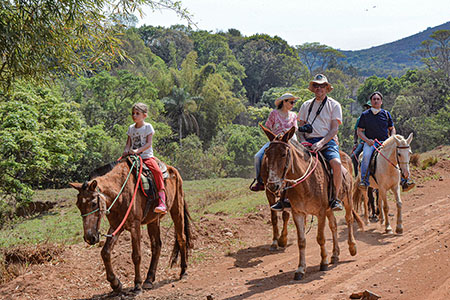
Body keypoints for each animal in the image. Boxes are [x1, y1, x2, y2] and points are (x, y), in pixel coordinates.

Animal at [69, 158, 191, 294]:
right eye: (78, 205)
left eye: (94, 203)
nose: (90, 237)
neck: (120, 192)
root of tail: (173, 170)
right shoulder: (116, 226)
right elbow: (105, 252)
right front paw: (115, 284)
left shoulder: (135, 226)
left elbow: (136, 256)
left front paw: (137, 285)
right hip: (153, 220)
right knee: (157, 246)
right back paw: (149, 279)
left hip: (177, 209)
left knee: (181, 238)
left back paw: (183, 272)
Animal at [258, 125, 364, 280]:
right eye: (267, 154)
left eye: (283, 154)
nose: (272, 185)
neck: (306, 183)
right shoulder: (298, 213)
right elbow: (301, 241)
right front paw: (301, 269)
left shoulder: (320, 212)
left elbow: (320, 238)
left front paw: (323, 263)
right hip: (329, 209)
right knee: (333, 226)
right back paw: (335, 254)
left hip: (347, 199)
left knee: (349, 219)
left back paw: (352, 247)